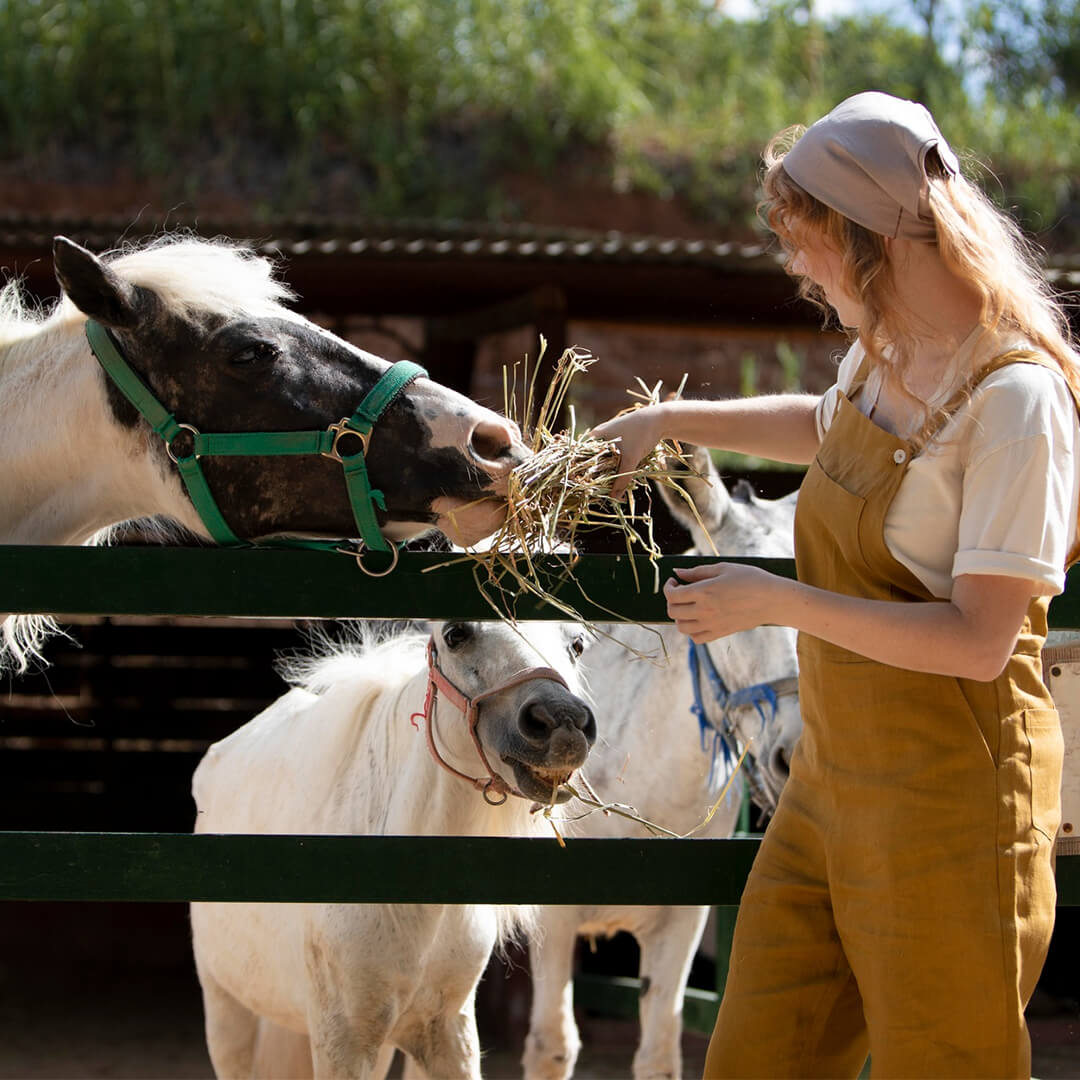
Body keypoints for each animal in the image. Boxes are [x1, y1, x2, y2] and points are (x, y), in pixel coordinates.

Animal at [194, 617, 600, 1080]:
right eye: (456, 633)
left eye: (577, 644)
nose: (561, 721)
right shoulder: (345, 1043)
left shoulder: (447, 1034)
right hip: (228, 1013)